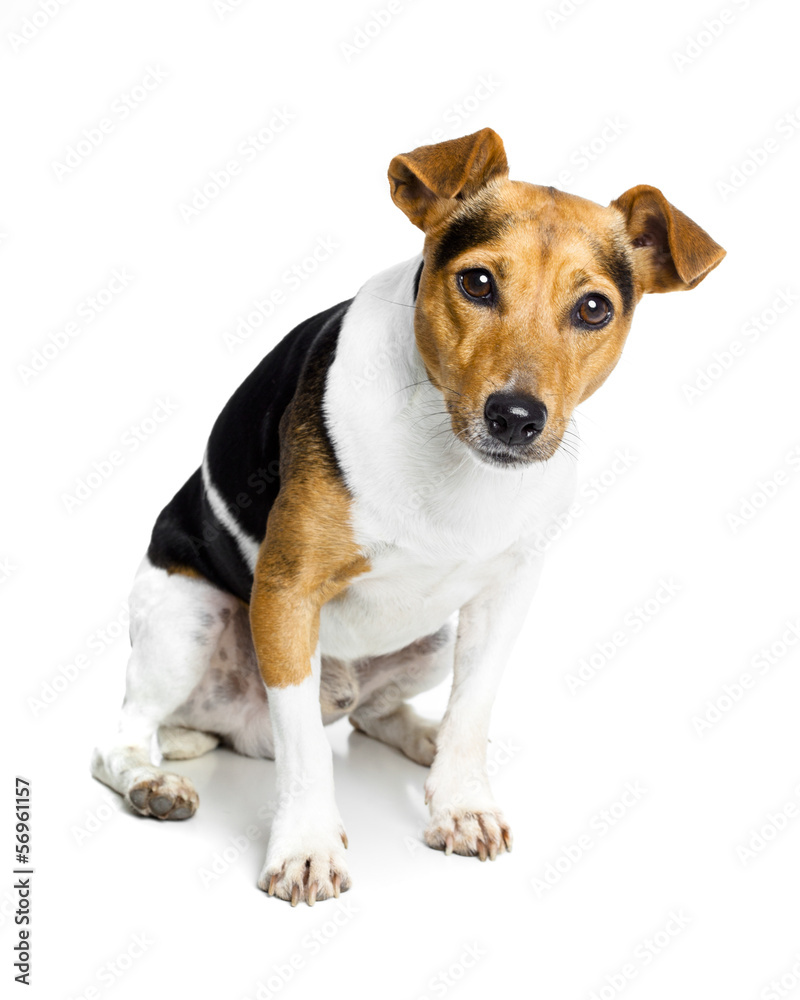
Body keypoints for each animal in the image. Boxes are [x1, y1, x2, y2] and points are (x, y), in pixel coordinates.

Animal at [90, 127, 728, 908]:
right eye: (477, 282)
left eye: (594, 309)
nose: (516, 418)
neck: (452, 456)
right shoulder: (286, 592)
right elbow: (306, 752)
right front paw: (306, 847)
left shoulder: (506, 592)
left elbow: (472, 710)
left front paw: (461, 802)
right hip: (188, 620)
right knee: (124, 737)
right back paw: (151, 781)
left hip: (432, 636)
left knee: (373, 714)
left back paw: (423, 738)